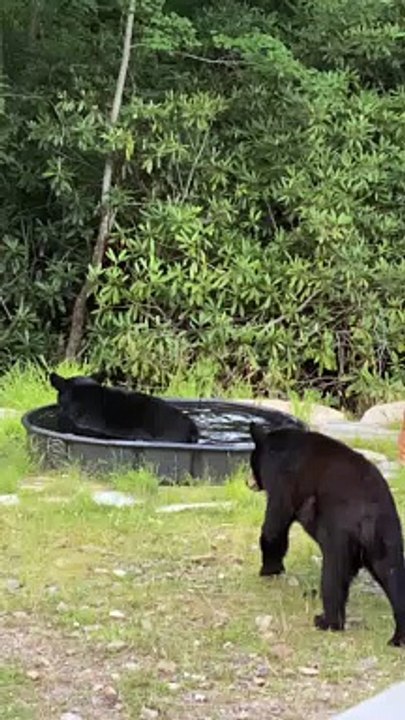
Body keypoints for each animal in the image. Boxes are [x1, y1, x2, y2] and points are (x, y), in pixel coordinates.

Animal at [249, 422, 405, 647]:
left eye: (251, 461)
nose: (248, 481)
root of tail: (370, 512)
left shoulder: (282, 482)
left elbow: (274, 526)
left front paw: (269, 570)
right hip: (388, 537)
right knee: (394, 575)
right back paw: (397, 638)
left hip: (339, 535)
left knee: (333, 577)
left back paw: (326, 621)